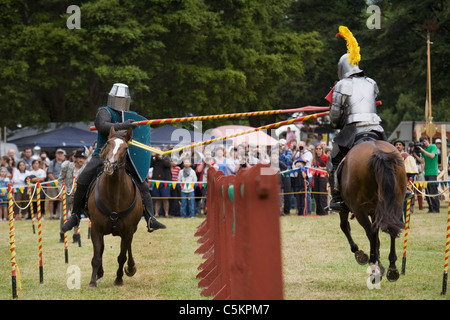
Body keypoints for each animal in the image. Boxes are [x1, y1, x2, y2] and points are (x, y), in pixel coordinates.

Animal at [87, 127, 143, 288]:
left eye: (126, 148)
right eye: (107, 143)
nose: (110, 165)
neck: (114, 197)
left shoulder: (128, 230)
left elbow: (122, 256)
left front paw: (119, 280)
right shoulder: (96, 229)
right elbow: (97, 256)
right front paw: (93, 281)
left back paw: (130, 268)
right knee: (101, 250)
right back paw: (100, 275)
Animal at [340, 139, 406, 282]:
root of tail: (379, 153)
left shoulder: (347, 209)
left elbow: (344, 226)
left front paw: (359, 253)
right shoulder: (376, 212)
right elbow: (377, 239)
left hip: (359, 209)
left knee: (370, 233)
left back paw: (373, 267)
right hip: (396, 204)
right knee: (391, 230)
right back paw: (392, 268)